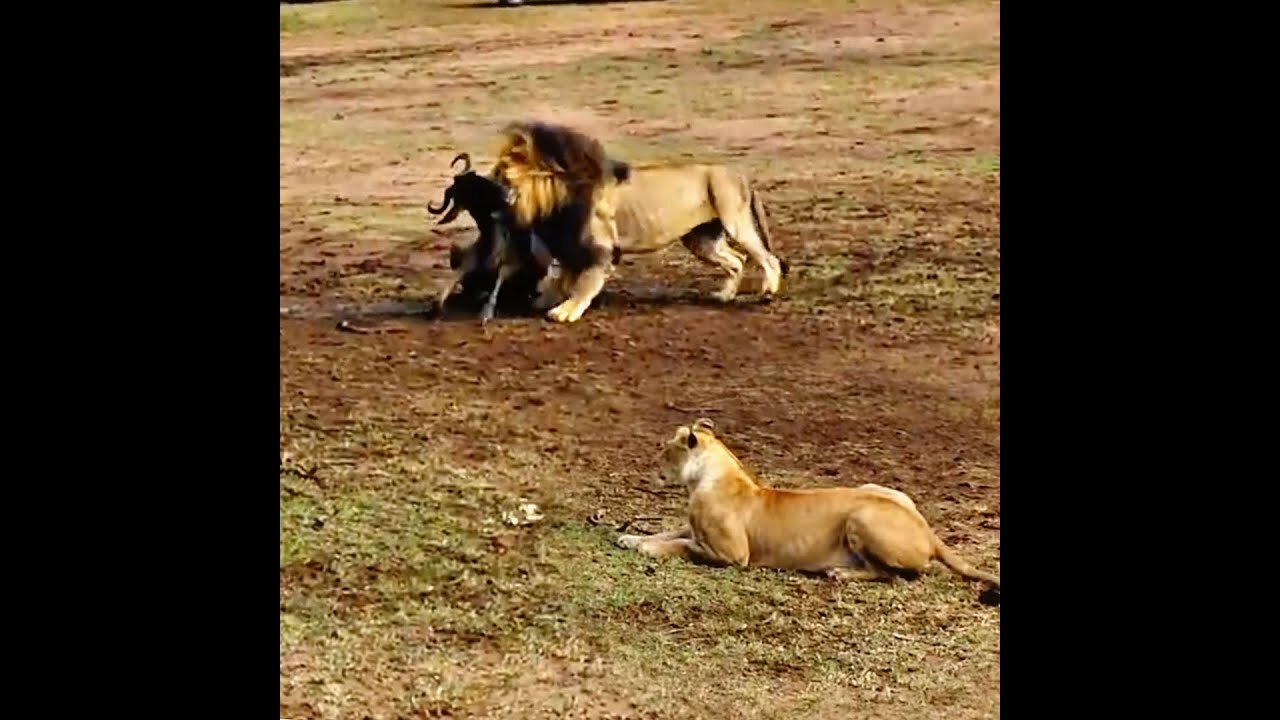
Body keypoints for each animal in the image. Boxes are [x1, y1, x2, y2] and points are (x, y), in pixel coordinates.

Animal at [619, 417, 998, 591]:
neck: (709, 475)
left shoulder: (734, 555)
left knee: (893, 575)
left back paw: (840, 573)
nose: (652, 466)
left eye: (665, 450)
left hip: (861, 517)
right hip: (882, 491)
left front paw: (648, 548)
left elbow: (683, 545)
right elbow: (670, 531)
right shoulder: (694, 526)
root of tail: (929, 532)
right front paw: (632, 537)